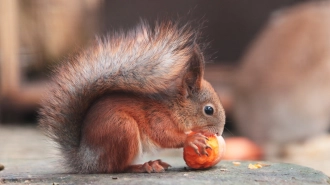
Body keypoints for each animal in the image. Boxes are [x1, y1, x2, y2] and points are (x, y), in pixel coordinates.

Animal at [38, 20, 224, 173]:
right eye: (209, 110)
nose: (219, 132)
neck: (173, 107)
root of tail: (87, 160)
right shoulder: (157, 117)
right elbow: (164, 135)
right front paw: (192, 138)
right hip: (123, 129)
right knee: (116, 168)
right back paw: (145, 166)